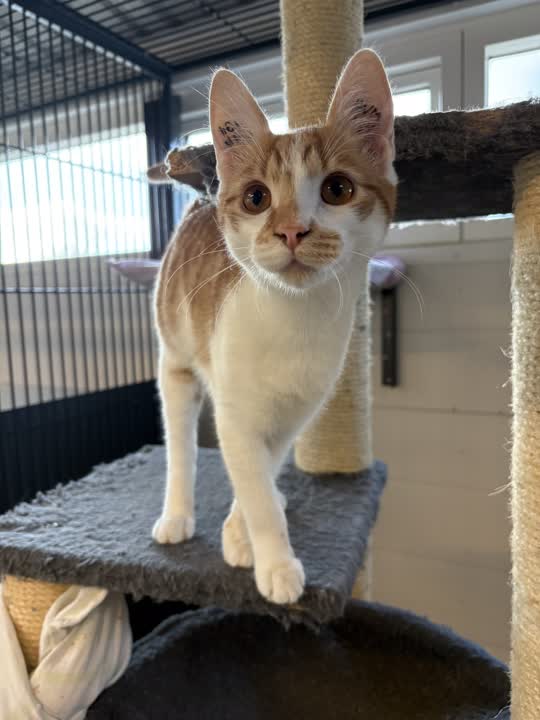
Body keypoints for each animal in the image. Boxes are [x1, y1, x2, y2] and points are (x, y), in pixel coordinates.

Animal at [151, 48, 396, 605]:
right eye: (256, 198)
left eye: (337, 188)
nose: (291, 231)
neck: (295, 321)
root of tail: (201, 199)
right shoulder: (234, 410)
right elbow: (250, 480)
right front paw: (276, 561)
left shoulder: (295, 413)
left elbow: (261, 471)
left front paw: (243, 532)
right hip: (176, 361)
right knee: (180, 448)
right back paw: (176, 514)